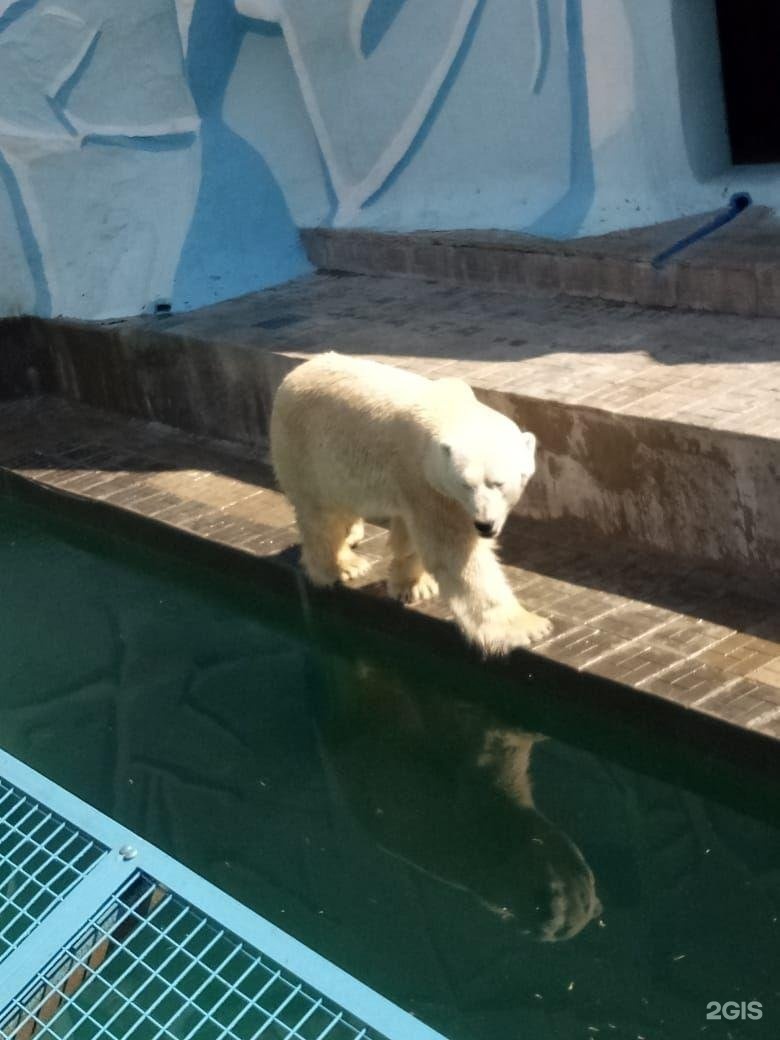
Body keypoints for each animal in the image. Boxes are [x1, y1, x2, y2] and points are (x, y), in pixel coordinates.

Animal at [272, 353, 553, 653]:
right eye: (466, 485)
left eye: (498, 483)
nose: (484, 525)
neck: (450, 410)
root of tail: (294, 374)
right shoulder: (426, 478)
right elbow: (453, 551)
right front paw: (528, 628)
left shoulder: (417, 483)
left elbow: (410, 533)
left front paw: (414, 586)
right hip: (306, 448)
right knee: (322, 516)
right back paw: (343, 566)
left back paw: (353, 535)